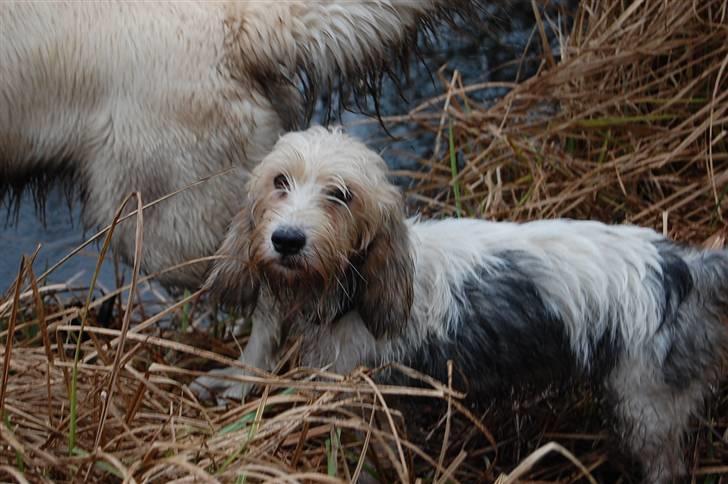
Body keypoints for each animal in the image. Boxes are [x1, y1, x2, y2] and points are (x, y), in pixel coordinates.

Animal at [195, 126, 728, 482]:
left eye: (341, 195)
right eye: (279, 181)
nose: (287, 240)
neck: (351, 291)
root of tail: (686, 267)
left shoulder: (362, 397)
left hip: (649, 409)